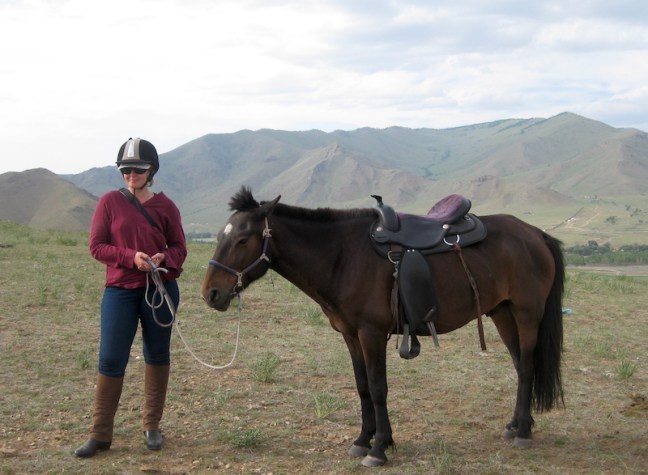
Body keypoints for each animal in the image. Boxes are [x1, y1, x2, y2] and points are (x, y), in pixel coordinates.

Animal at [202, 186, 565, 467]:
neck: (343, 256)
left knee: (527, 366)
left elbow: (378, 388)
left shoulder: (371, 334)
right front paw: (364, 439)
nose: (212, 293)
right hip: (502, 313)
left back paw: (524, 433)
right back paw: (516, 424)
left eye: (242, 240)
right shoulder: (351, 335)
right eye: (219, 236)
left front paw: (379, 448)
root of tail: (535, 234)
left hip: (526, 313)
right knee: (519, 365)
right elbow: (362, 387)